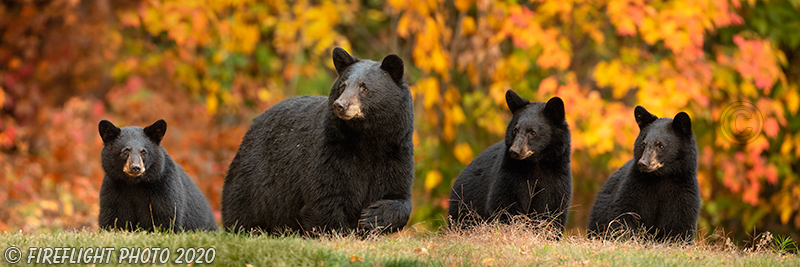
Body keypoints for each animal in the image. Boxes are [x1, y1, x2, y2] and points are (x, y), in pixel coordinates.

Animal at [223, 47, 416, 236]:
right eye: (343, 86)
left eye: (364, 88)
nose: (340, 105)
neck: (367, 139)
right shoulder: (331, 151)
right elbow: (325, 197)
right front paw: (337, 233)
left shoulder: (395, 152)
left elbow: (400, 196)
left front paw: (373, 216)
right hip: (252, 182)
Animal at [446, 90, 572, 232]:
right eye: (515, 130)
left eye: (532, 132)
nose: (514, 151)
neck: (536, 163)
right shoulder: (510, 172)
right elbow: (505, 203)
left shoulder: (557, 174)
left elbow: (552, 208)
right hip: (464, 203)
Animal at [588, 107, 700, 243]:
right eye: (643, 144)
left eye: (661, 145)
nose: (643, 163)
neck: (662, 177)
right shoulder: (635, 185)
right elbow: (624, 213)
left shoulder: (684, 191)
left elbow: (680, 223)